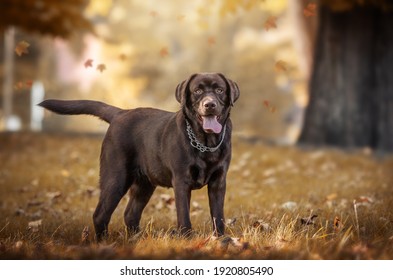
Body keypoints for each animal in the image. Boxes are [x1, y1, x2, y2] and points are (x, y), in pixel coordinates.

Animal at [39, 72, 239, 241]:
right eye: (197, 91)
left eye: (220, 90)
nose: (209, 104)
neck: (206, 142)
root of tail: (120, 113)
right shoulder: (181, 181)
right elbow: (184, 215)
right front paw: (187, 239)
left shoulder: (219, 182)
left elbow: (218, 215)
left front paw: (220, 239)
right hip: (116, 177)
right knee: (100, 214)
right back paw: (103, 242)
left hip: (144, 184)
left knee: (130, 214)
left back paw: (136, 239)